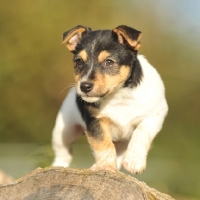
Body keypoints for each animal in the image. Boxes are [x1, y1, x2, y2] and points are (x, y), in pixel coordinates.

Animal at [51, 25, 167, 174]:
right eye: (78, 61)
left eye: (109, 62)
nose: (84, 86)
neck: (118, 96)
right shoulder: (95, 121)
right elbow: (104, 143)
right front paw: (106, 166)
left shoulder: (155, 114)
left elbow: (141, 132)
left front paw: (134, 161)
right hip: (63, 131)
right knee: (63, 153)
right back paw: (59, 166)